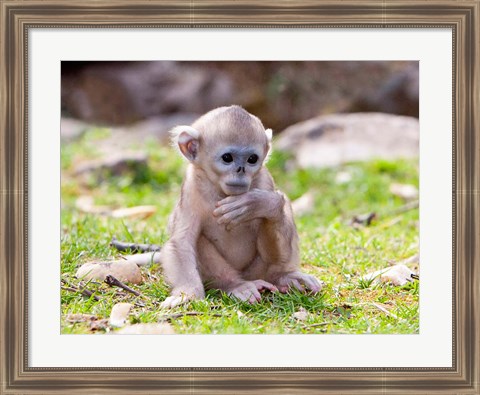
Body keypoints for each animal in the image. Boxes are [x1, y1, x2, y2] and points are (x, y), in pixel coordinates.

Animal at [129, 106, 322, 310]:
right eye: (227, 158)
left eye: (252, 159)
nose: (241, 170)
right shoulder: (191, 188)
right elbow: (182, 241)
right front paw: (188, 293)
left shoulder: (265, 181)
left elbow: (274, 208)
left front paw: (257, 203)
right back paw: (235, 285)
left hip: (257, 270)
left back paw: (282, 277)